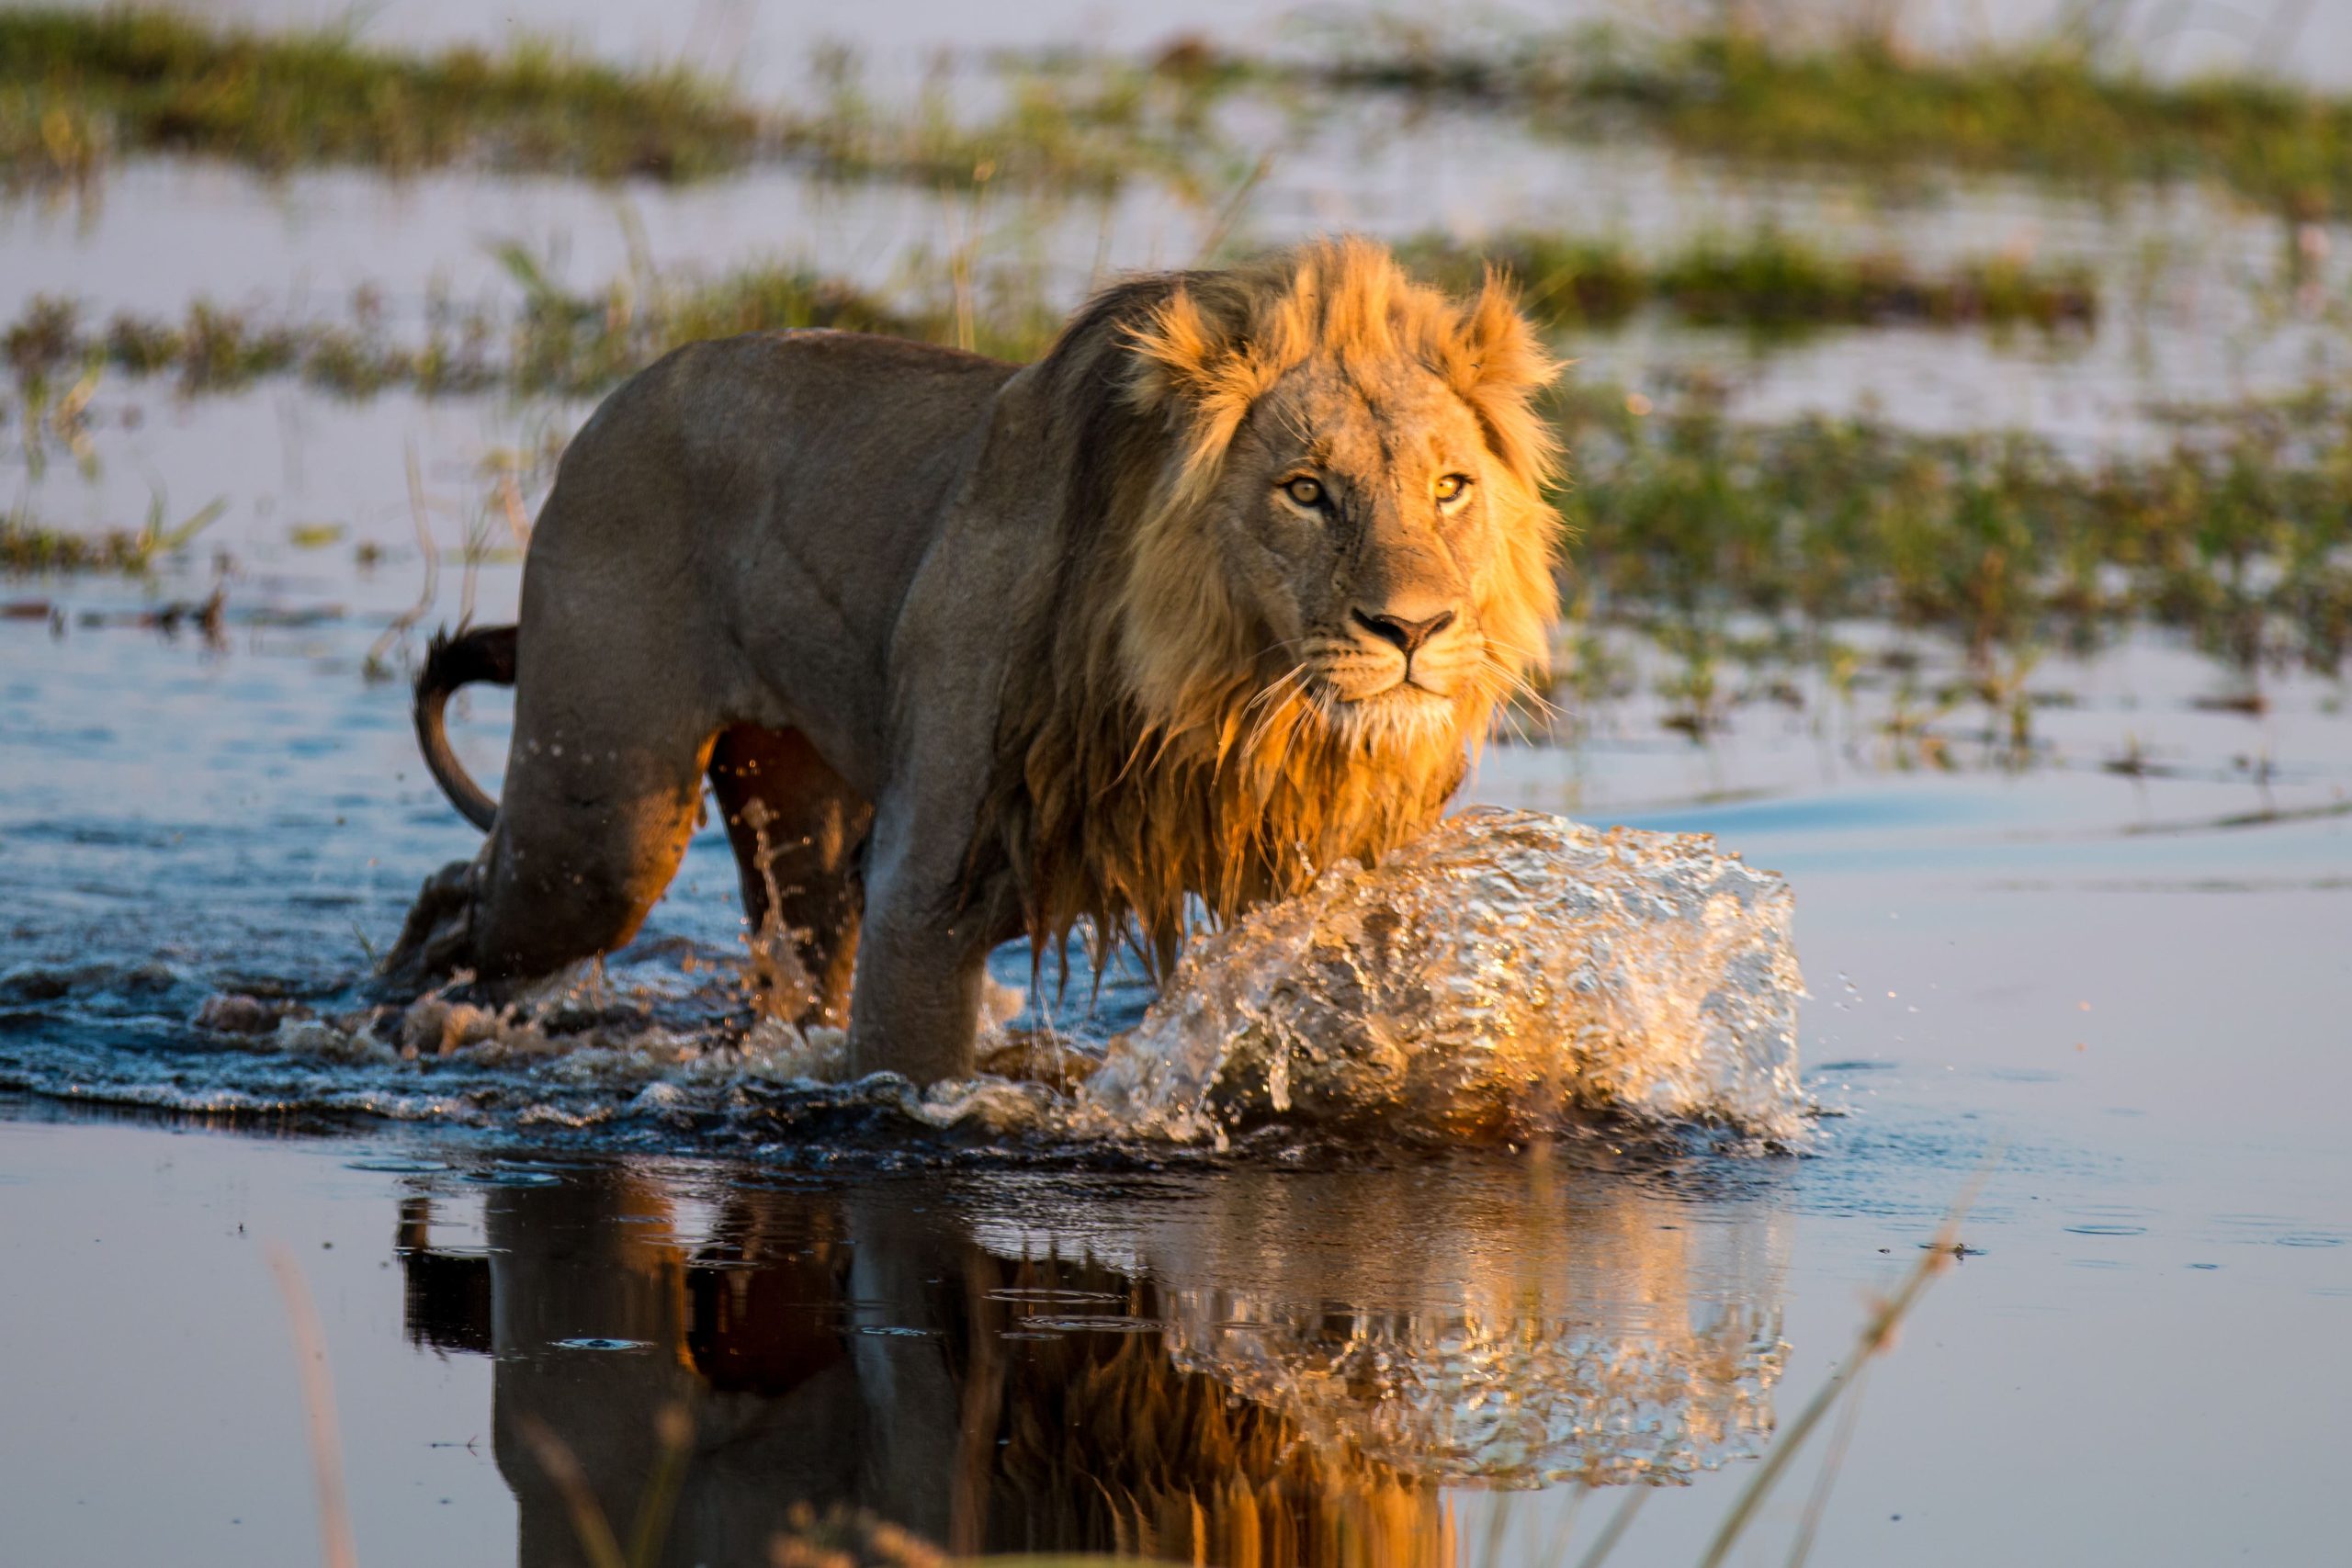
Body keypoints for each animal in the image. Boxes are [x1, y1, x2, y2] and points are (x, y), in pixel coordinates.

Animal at [385, 240, 1561, 1086]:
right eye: (1306, 491)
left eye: (1449, 488)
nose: (1413, 630)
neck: (1218, 705)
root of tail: (623, 395)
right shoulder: (922, 899)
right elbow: (910, 1081)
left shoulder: (1317, 889)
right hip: (599, 832)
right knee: (460, 893)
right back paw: (414, 1021)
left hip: (801, 835)